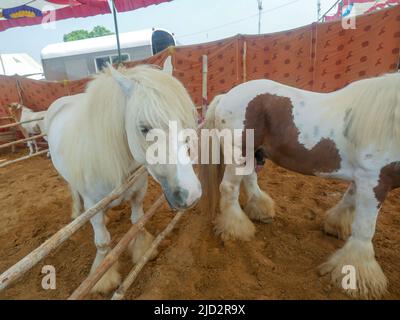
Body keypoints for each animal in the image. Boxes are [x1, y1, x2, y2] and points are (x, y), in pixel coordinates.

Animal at [46, 64, 203, 292]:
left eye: (184, 122)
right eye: (144, 128)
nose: (191, 195)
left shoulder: (138, 191)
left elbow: (137, 222)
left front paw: (142, 250)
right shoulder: (93, 205)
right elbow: (102, 242)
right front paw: (104, 277)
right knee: (73, 190)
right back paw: (76, 211)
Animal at [202, 73, 400, 300]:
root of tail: (226, 96)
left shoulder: (363, 180)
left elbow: (348, 202)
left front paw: (335, 226)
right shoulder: (374, 180)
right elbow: (365, 229)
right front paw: (358, 277)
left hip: (252, 153)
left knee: (249, 179)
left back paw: (260, 210)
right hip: (239, 153)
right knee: (229, 188)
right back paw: (237, 229)